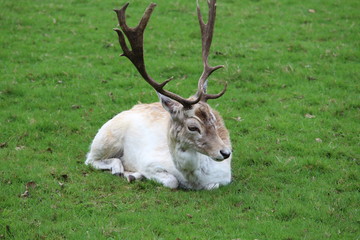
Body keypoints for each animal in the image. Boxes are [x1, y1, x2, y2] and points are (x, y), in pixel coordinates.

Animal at [86, 0, 233, 191]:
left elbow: (212, 185)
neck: (193, 181)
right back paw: (122, 170)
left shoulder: (225, 176)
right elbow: (172, 181)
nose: (225, 152)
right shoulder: (149, 161)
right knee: (91, 159)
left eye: (213, 119)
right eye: (192, 127)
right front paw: (134, 173)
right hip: (105, 137)